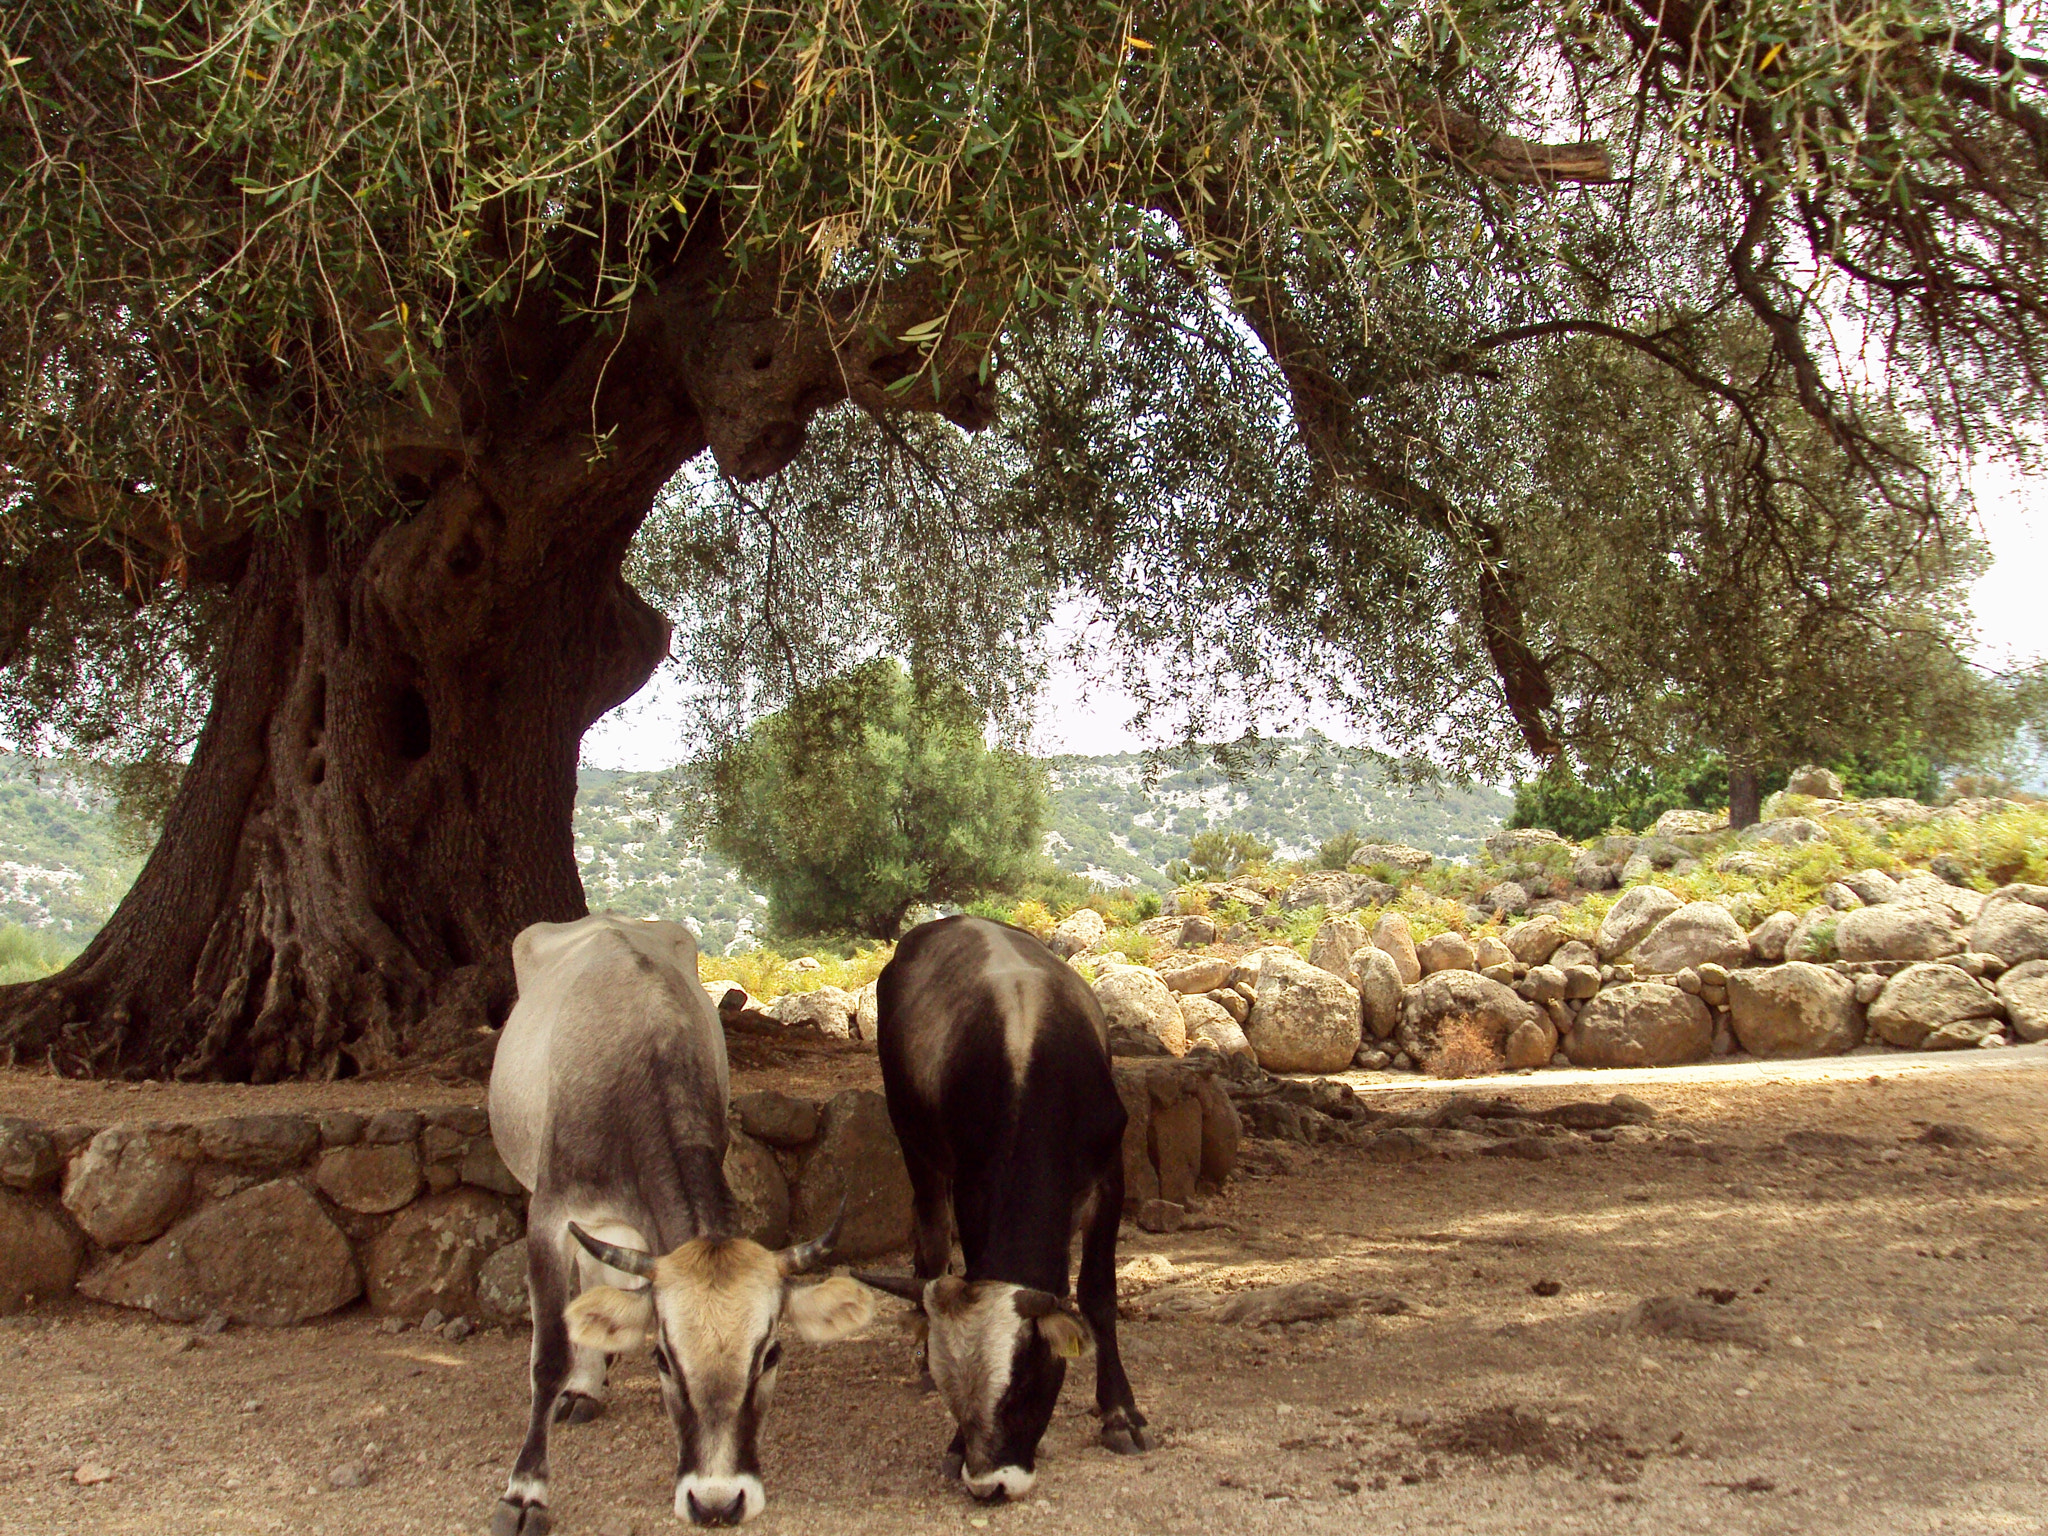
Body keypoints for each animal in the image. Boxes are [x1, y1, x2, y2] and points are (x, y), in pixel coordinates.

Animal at [860, 921, 1155, 1499]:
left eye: (1023, 1384)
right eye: (955, 1396)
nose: (988, 1484)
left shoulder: (1109, 1176)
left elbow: (1099, 1295)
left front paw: (1119, 1414)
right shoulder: (972, 1186)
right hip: (914, 1141)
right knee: (930, 1237)